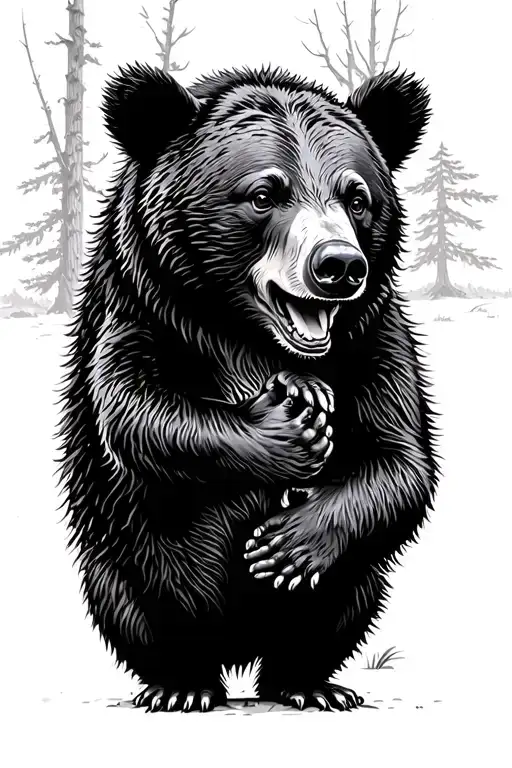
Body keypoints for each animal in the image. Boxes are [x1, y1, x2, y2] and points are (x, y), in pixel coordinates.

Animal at [57, 62, 440, 713]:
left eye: (356, 198)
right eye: (265, 194)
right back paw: (181, 684)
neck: (254, 341)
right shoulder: (140, 308)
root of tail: (238, 654)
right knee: (144, 611)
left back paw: (310, 682)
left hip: (355, 587)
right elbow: (140, 414)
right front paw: (294, 422)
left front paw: (289, 543)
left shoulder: (374, 336)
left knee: (335, 613)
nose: (339, 265)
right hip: (122, 569)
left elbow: (400, 458)